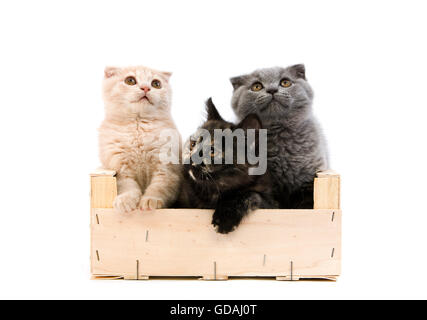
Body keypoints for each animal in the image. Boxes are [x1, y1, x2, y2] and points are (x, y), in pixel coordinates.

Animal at [100, 65, 182, 212]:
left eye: (156, 84)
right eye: (130, 80)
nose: (145, 88)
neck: (138, 128)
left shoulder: (167, 169)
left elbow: (160, 186)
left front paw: (151, 200)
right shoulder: (119, 168)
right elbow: (127, 185)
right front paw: (125, 200)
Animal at [176, 99, 278, 234]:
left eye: (213, 151)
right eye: (192, 144)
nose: (191, 159)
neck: (213, 191)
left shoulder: (271, 204)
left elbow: (248, 194)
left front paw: (226, 217)